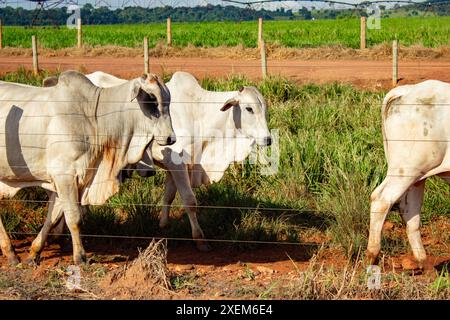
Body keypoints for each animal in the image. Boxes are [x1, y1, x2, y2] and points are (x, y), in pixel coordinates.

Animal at [44, 71, 270, 251]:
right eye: (249, 108)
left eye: (264, 108)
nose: (268, 139)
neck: (198, 114)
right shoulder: (177, 164)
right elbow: (190, 201)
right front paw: (200, 239)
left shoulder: (175, 167)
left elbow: (168, 196)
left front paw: (163, 225)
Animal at [368, 80, 450, 268]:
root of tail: (407, 90)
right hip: (407, 169)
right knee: (381, 200)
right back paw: (372, 256)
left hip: (417, 176)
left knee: (409, 212)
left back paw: (424, 263)